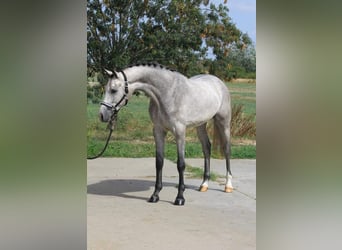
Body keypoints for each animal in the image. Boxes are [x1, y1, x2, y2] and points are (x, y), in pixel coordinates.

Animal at [99, 63, 232, 206]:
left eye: (113, 90)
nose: (102, 115)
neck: (168, 94)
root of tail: (217, 81)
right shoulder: (158, 131)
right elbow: (159, 162)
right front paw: (155, 195)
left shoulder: (180, 132)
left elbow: (181, 164)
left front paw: (180, 198)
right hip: (200, 125)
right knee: (206, 148)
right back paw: (204, 184)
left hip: (224, 122)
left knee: (226, 150)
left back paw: (228, 185)